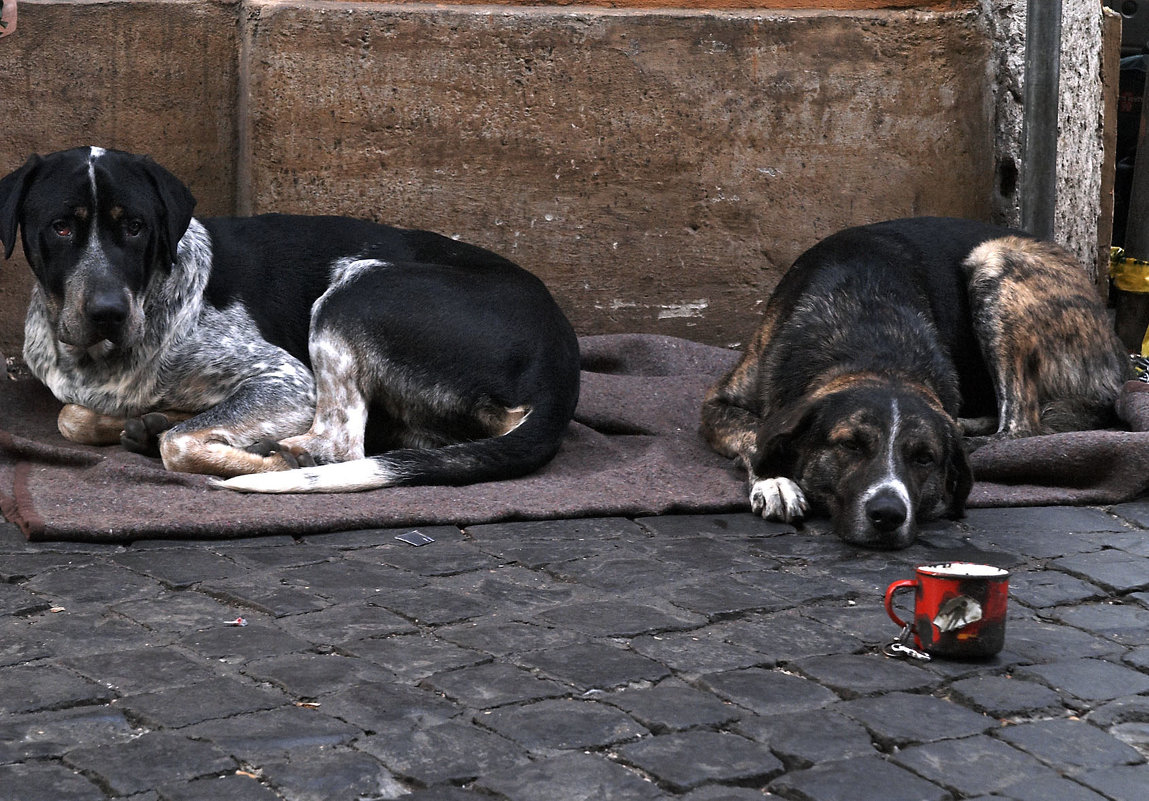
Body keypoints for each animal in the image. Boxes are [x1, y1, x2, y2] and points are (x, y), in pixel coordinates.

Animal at [0, 147, 579, 489]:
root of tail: (560, 363)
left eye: (136, 227)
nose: (107, 312)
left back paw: (286, 457)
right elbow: (72, 417)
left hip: (354, 292)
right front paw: (146, 418)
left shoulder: (286, 381)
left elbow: (180, 446)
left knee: (337, 447)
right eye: (61, 227)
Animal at [698, 216, 1130, 547]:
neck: (872, 339)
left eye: (924, 457)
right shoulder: (718, 403)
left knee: (1021, 424)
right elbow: (755, 434)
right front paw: (776, 480)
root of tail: (1119, 360)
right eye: (851, 445)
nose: (889, 513)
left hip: (995, 263)